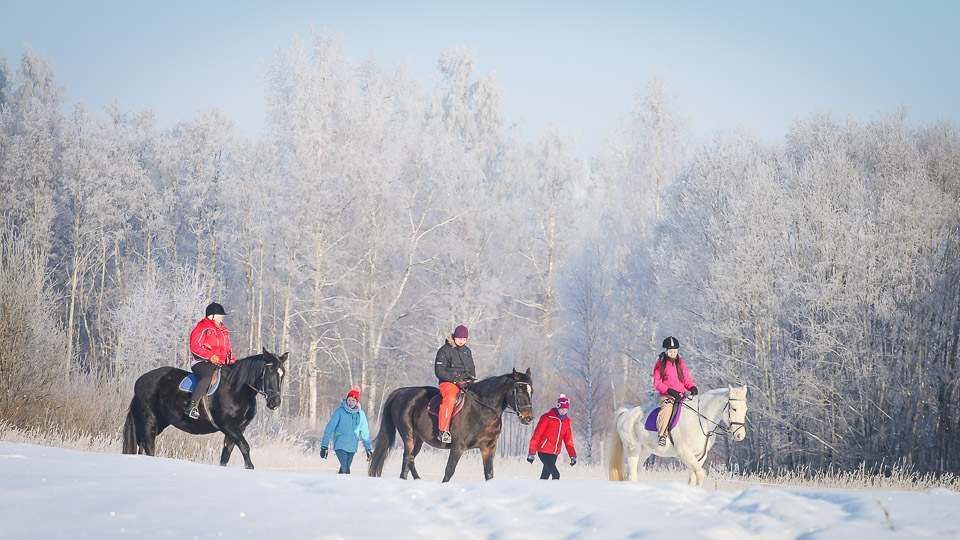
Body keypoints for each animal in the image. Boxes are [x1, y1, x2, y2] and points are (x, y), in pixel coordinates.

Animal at [121, 350, 284, 468]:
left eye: (282, 375)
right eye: (269, 373)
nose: (275, 403)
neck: (237, 389)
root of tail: (140, 380)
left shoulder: (238, 428)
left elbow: (226, 454)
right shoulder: (228, 425)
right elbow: (245, 446)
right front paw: (250, 467)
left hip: (160, 421)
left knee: (141, 443)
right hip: (150, 419)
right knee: (149, 445)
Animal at [368, 370, 532, 484]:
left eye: (532, 391)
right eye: (519, 390)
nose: (528, 418)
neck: (483, 411)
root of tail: (402, 392)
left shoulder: (488, 448)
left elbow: (489, 474)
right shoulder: (458, 446)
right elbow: (449, 470)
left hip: (418, 439)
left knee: (409, 460)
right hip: (408, 435)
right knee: (408, 458)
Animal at [608, 384, 752, 486]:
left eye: (746, 409)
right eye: (734, 408)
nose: (740, 435)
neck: (700, 420)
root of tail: (627, 412)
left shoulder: (699, 456)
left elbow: (692, 478)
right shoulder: (684, 453)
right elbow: (700, 474)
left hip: (644, 452)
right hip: (633, 450)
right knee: (631, 474)